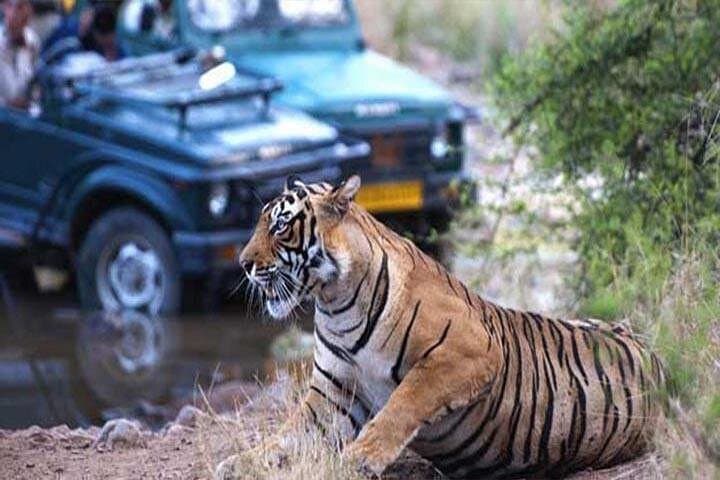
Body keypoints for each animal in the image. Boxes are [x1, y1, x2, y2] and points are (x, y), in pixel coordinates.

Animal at [220, 174, 666, 479]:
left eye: (280, 226)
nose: (243, 263)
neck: (335, 304)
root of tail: (659, 359)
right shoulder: (334, 393)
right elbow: (288, 433)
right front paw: (241, 462)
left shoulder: (468, 350)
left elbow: (405, 402)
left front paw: (361, 457)